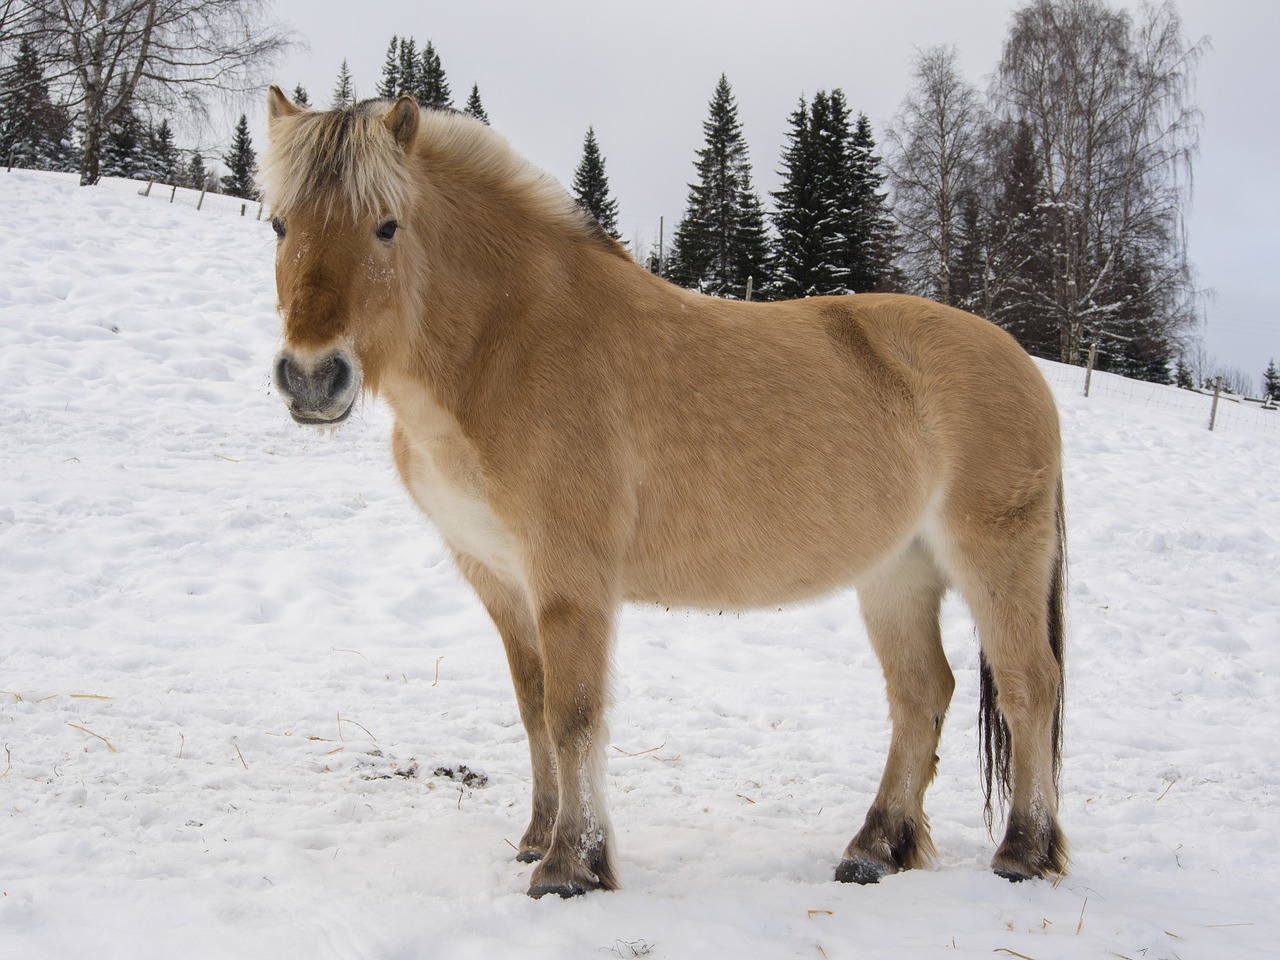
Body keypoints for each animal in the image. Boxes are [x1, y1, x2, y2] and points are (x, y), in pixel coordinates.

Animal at [259, 88, 1070, 901]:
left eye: (386, 224)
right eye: (279, 223)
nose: (312, 378)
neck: (510, 345)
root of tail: (1020, 361)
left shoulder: (571, 578)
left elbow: (573, 714)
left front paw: (570, 864)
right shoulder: (499, 577)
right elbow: (533, 707)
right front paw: (537, 837)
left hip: (995, 557)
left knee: (1030, 685)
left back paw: (1023, 852)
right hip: (897, 573)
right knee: (921, 694)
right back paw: (874, 848)